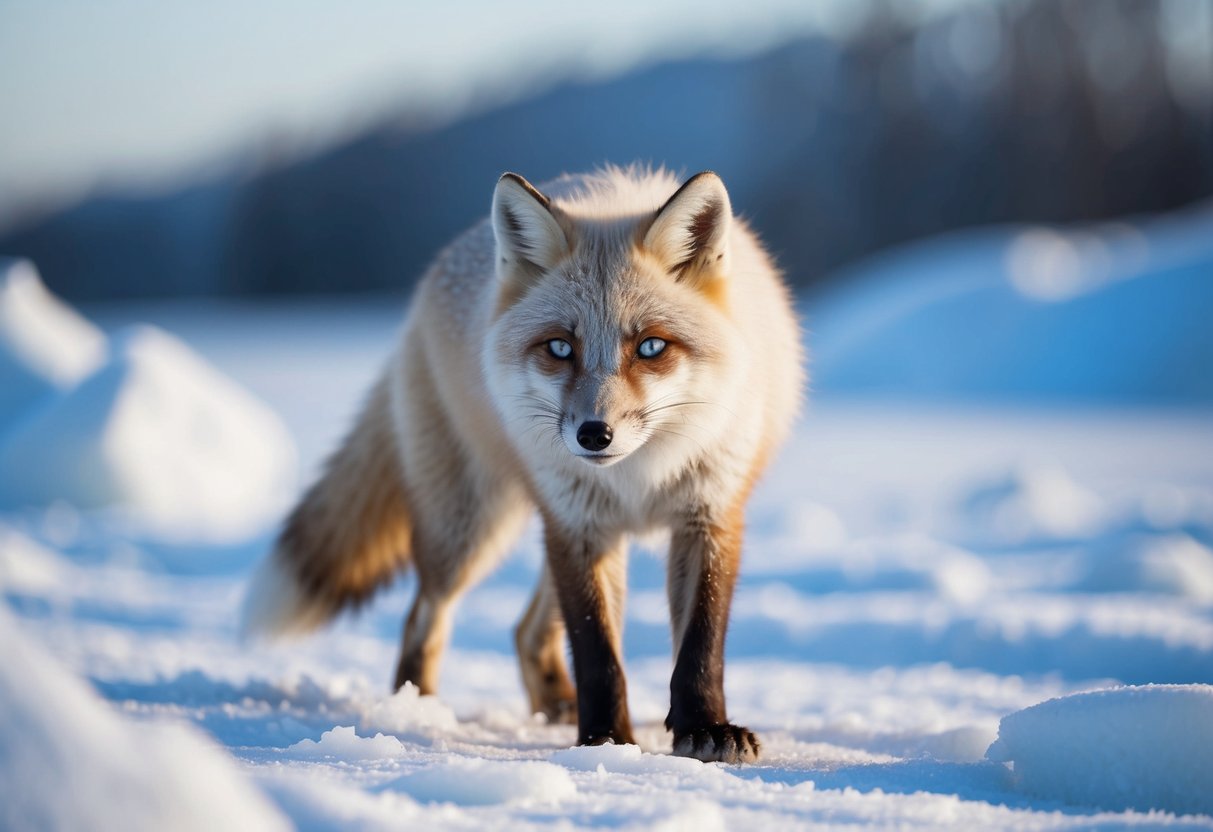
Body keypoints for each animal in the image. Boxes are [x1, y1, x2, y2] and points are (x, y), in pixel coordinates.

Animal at [243, 166, 804, 763]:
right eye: (559, 348)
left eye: (651, 347)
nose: (594, 434)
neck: (638, 477)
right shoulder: (577, 528)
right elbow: (597, 652)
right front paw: (605, 742)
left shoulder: (709, 514)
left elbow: (701, 641)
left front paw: (704, 728)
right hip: (472, 530)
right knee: (423, 616)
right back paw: (416, 711)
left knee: (524, 630)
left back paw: (554, 703)